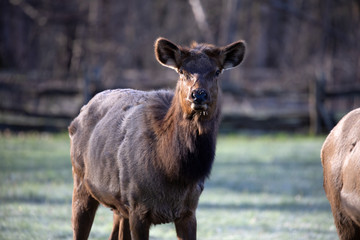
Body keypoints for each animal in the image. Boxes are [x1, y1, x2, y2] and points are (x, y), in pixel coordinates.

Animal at [68, 36, 245, 239]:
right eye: (182, 71)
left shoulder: (189, 210)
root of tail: (80, 112)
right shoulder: (137, 207)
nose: (198, 95)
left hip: (119, 207)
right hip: (81, 181)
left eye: (217, 71)